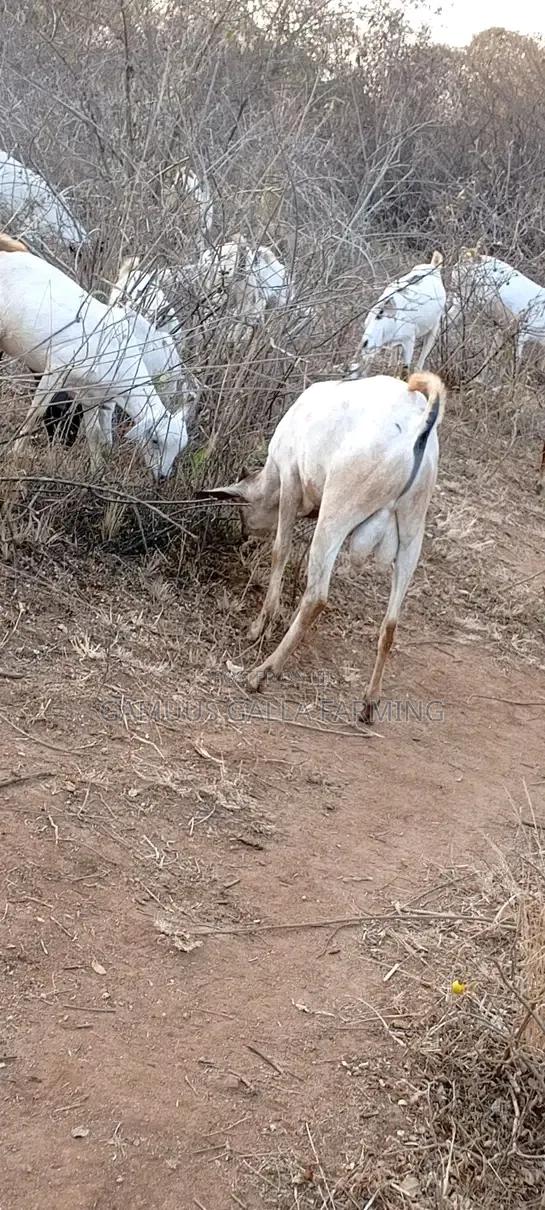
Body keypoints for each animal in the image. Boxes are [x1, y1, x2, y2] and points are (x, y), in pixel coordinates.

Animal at [0, 238, 188, 479]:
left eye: (179, 448)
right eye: (155, 440)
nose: (163, 477)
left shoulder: (91, 396)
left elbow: (94, 434)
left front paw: (96, 471)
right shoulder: (56, 370)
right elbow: (35, 413)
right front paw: (16, 452)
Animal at [201, 370, 445, 721]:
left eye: (243, 511)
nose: (244, 535)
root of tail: (418, 426)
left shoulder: (290, 480)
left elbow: (281, 550)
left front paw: (260, 626)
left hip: (338, 511)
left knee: (317, 597)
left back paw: (263, 672)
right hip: (412, 534)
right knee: (390, 623)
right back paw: (369, 702)